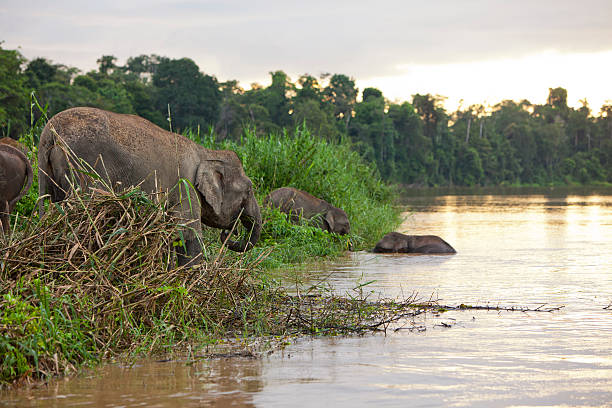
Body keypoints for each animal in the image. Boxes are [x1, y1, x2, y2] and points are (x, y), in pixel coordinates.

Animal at [38, 107, 260, 264]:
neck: (206, 152)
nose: (230, 232)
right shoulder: (185, 186)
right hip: (84, 168)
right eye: (249, 189)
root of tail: (50, 133)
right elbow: (188, 234)